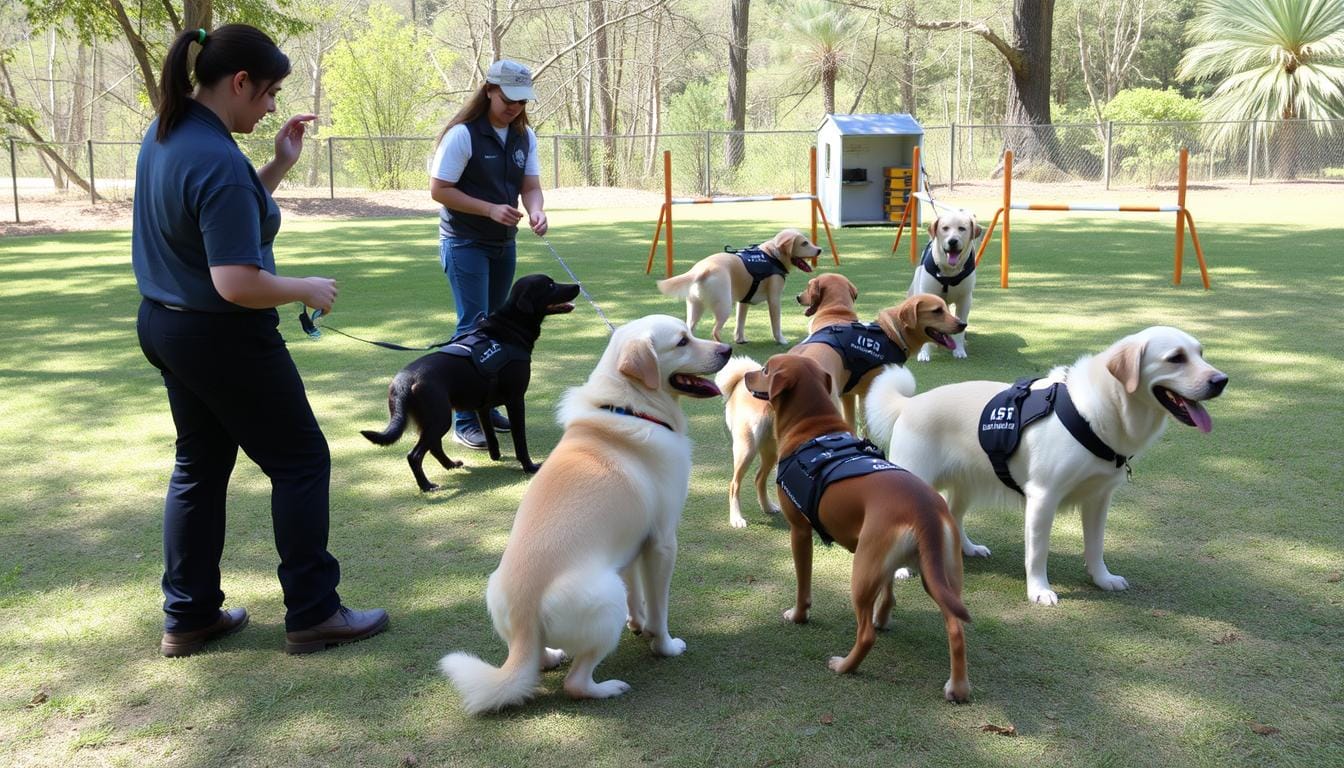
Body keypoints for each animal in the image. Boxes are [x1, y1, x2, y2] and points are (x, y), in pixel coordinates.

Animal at [440, 313, 731, 715]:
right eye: (682, 341)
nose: (728, 349)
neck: (631, 408)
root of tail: (525, 620)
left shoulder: (631, 547)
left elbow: (638, 596)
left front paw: (638, 624)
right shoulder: (662, 543)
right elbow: (659, 609)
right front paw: (664, 645)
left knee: (540, 662)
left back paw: (551, 654)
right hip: (606, 596)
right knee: (575, 683)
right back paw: (608, 687)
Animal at [658, 228, 817, 344]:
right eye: (804, 243)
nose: (819, 250)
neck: (772, 255)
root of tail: (702, 269)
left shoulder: (743, 302)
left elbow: (740, 323)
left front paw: (740, 339)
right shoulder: (774, 300)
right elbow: (776, 324)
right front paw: (781, 340)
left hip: (695, 308)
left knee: (690, 330)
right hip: (724, 307)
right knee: (715, 331)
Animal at [725, 287, 967, 529]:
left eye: (946, 308)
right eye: (937, 311)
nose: (962, 324)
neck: (890, 333)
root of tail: (742, 381)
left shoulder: (849, 394)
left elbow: (853, 422)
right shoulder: (867, 392)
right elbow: (866, 423)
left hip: (772, 447)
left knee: (759, 477)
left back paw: (768, 507)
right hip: (748, 445)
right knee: (734, 484)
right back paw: (737, 518)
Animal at [741, 355, 973, 704]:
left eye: (766, 369)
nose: (745, 374)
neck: (816, 428)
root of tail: (925, 510)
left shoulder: (799, 532)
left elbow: (803, 586)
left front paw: (798, 616)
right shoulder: (887, 566)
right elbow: (889, 593)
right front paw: (885, 616)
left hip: (862, 572)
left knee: (865, 635)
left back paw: (844, 665)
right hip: (940, 576)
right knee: (956, 628)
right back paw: (958, 688)